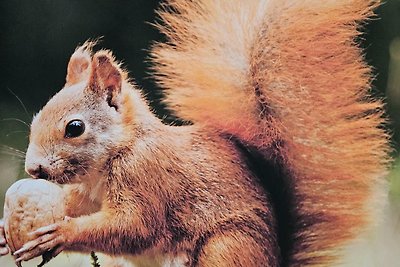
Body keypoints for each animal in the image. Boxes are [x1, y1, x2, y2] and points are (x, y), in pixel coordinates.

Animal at [0, 0, 390, 267]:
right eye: (36, 119)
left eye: (75, 127)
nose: (33, 169)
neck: (117, 153)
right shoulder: (85, 194)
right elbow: (74, 206)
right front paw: (6, 232)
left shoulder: (146, 176)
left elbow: (134, 226)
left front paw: (61, 234)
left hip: (227, 249)